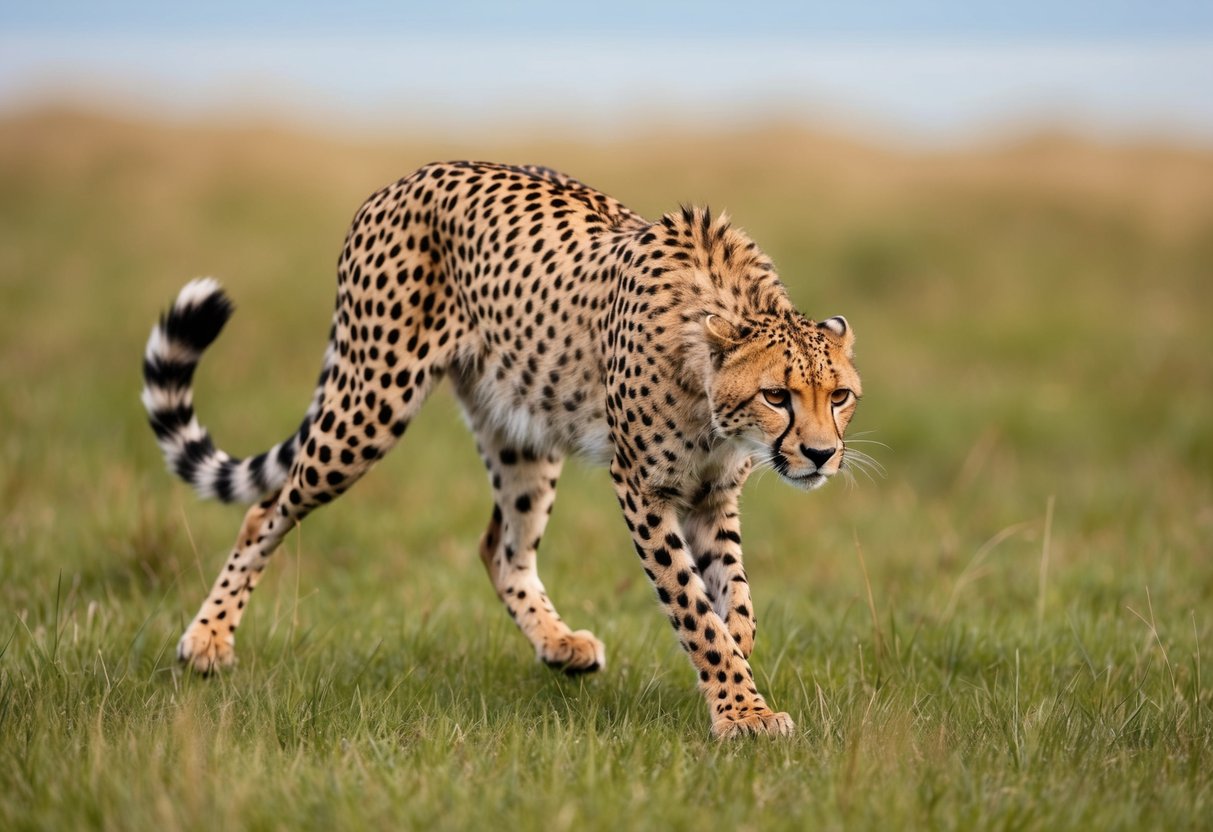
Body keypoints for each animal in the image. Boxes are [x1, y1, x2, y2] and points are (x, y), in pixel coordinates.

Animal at [141, 161, 862, 738]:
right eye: (777, 395)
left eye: (840, 396)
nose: (821, 455)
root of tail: (401, 180)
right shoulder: (642, 489)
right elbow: (692, 606)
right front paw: (741, 711)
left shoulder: (711, 496)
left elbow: (733, 601)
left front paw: (735, 676)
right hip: (370, 403)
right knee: (266, 510)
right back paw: (206, 640)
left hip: (521, 435)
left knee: (501, 547)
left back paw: (560, 644)